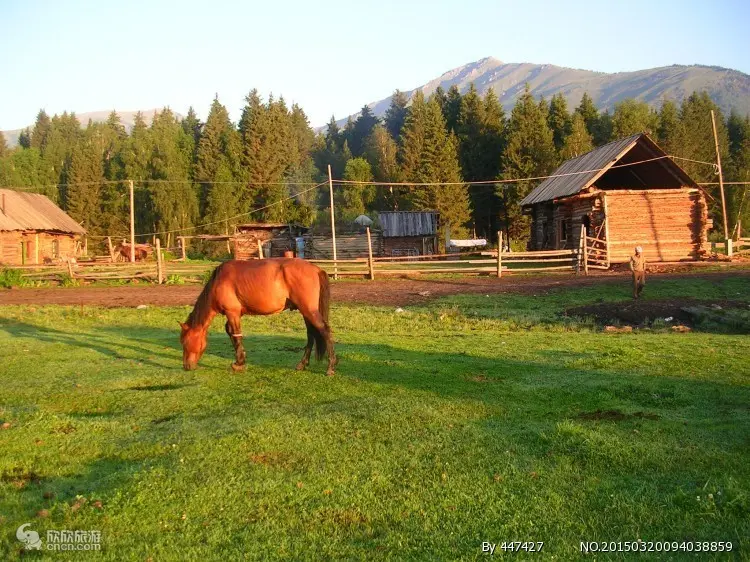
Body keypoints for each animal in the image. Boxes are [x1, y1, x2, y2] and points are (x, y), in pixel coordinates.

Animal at [180, 260, 338, 374]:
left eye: (185, 343)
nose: (186, 366)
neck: (218, 281)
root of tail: (316, 269)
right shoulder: (234, 314)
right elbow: (231, 334)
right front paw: (241, 359)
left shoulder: (232, 313)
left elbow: (236, 335)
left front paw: (239, 363)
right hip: (305, 311)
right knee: (311, 334)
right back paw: (302, 364)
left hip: (309, 310)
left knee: (324, 331)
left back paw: (330, 367)